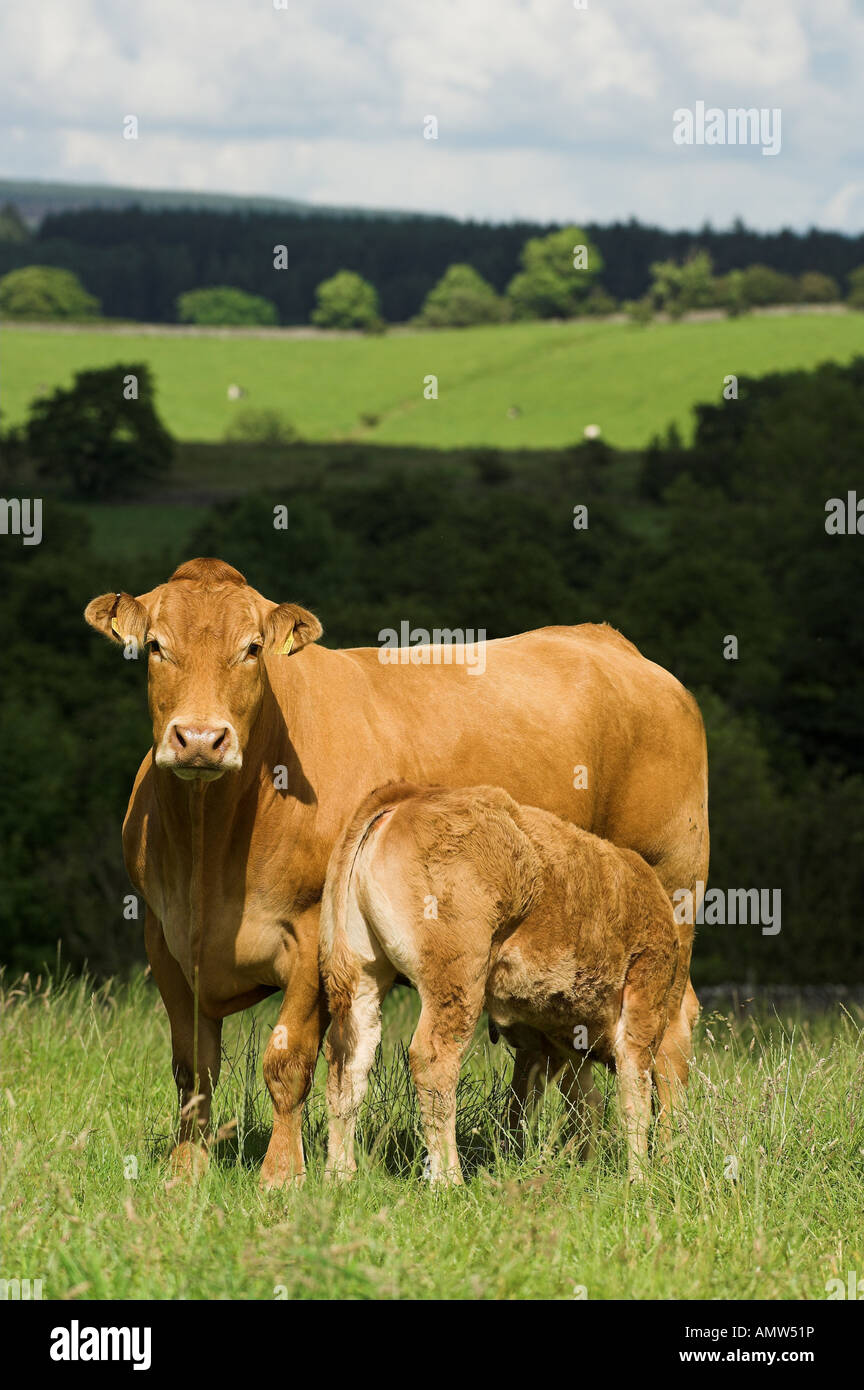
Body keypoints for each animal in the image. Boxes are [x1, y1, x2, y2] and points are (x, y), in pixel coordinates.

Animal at [320, 781, 683, 1183]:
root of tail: (409, 798)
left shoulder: (562, 1043)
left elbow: (580, 1102)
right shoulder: (644, 994)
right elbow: (634, 1097)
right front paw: (641, 1179)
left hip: (359, 976)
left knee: (348, 1062)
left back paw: (340, 1174)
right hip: (457, 977)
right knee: (433, 1060)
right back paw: (449, 1180)